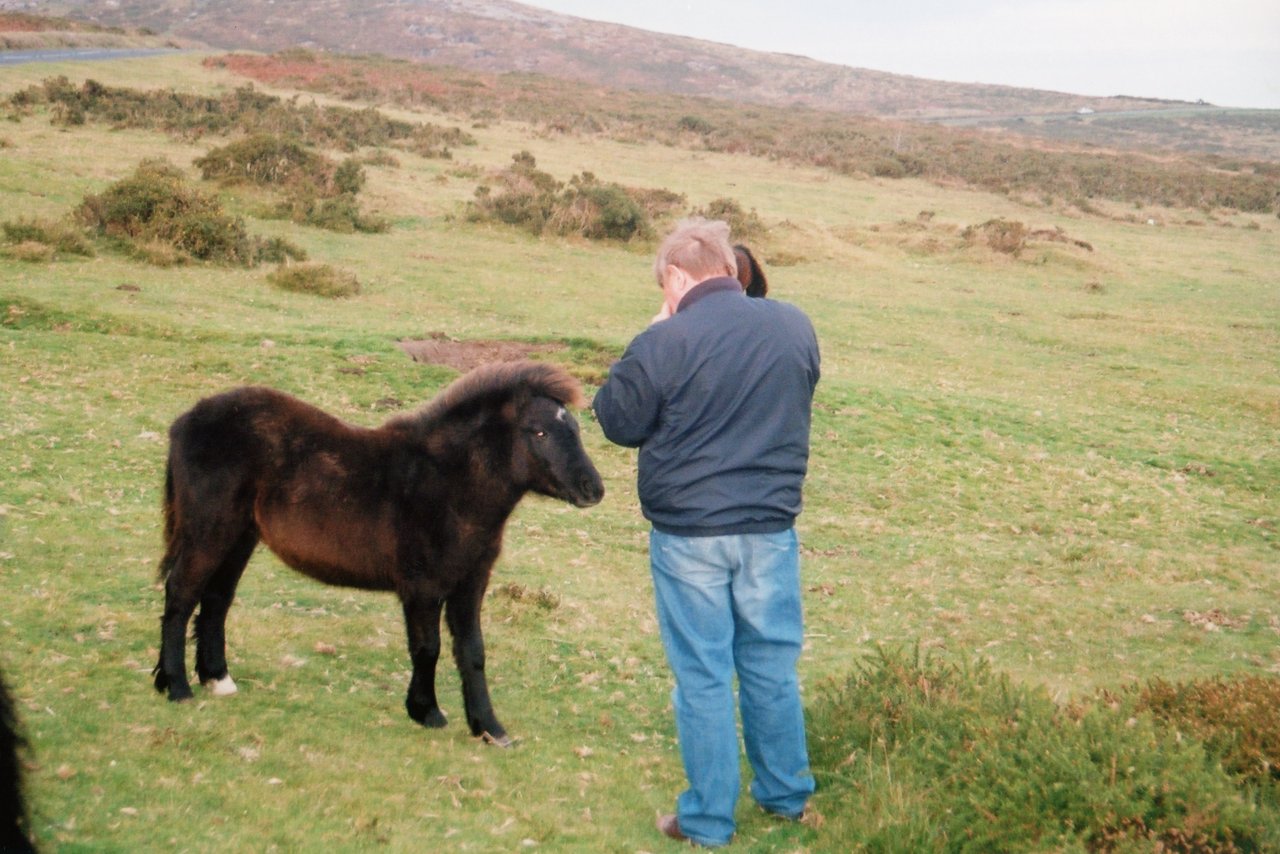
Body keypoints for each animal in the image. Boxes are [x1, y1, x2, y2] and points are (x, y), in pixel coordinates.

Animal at [151, 361, 604, 747]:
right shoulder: (422, 587)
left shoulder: (470, 584)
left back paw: (217, 679)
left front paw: (489, 728)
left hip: (240, 536)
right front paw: (427, 712)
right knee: (181, 595)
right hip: (209, 530)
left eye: (576, 429)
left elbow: (472, 652)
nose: (593, 488)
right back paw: (176, 686)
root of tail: (185, 421)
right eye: (538, 432)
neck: (449, 486)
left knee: (216, 599)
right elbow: (428, 648)